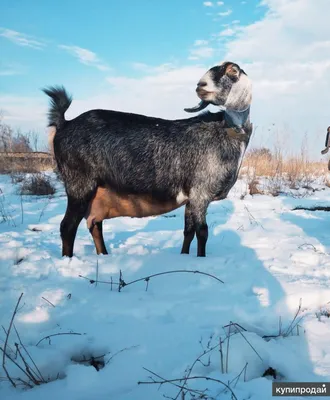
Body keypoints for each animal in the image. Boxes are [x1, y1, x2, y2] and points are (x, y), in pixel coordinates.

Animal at [42, 61, 251, 258]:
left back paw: (104, 255)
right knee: (67, 226)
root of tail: (64, 124)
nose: (201, 85)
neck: (227, 130)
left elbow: (188, 232)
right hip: (79, 185)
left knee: (95, 224)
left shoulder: (191, 198)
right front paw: (200, 260)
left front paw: (184, 257)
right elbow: (202, 232)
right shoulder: (201, 193)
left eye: (233, 70)